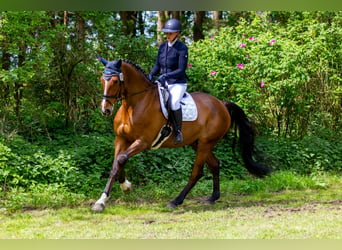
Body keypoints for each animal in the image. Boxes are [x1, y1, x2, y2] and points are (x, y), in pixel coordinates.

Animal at [92, 57, 272, 212]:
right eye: (102, 80)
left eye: (115, 81)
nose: (105, 110)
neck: (134, 104)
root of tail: (221, 103)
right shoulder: (121, 139)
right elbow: (117, 163)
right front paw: (106, 198)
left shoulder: (143, 141)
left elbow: (121, 159)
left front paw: (122, 188)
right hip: (197, 143)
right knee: (215, 164)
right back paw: (213, 197)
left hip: (205, 143)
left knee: (197, 172)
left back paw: (176, 201)